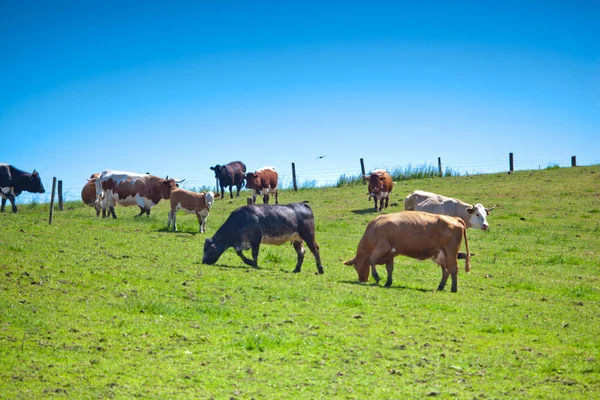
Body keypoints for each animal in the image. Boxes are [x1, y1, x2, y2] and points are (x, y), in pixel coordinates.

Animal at [344, 211, 472, 292]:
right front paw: (388, 282)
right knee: (446, 271)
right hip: (441, 254)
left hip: (451, 252)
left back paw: (453, 289)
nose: (362, 280)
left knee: (453, 269)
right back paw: (440, 287)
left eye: (356, 267)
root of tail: (454, 218)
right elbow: (389, 268)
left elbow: (371, 260)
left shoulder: (383, 246)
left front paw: (376, 277)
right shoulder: (390, 253)